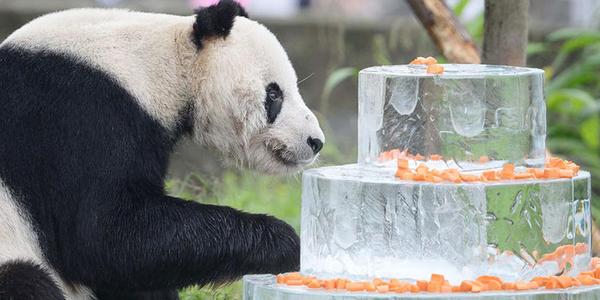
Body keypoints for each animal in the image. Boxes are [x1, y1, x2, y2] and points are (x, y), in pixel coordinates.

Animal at [0, 1, 324, 298]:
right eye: (274, 94)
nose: (315, 141)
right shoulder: (82, 115)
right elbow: (107, 236)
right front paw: (287, 243)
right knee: (26, 281)